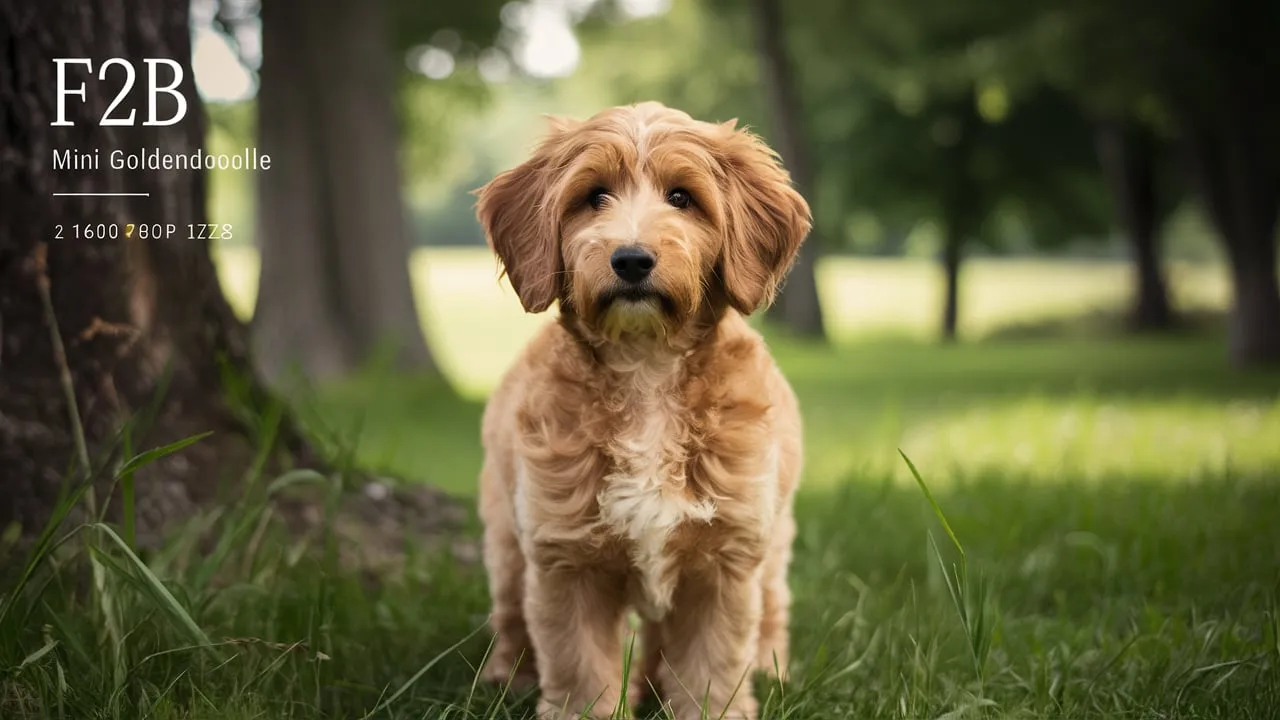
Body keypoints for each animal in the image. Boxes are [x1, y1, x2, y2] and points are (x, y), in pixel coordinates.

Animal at [471, 101, 808, 717]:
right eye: (593, 196)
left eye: (682, 197)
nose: (630, 260)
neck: (646, 370)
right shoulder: (565, 560)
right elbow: (581, 671)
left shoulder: (724, 560)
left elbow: (710, 670)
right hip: (508, 536)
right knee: (509, 611)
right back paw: (508, 679)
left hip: (771, 538)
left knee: (770, 606)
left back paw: (769, 672)